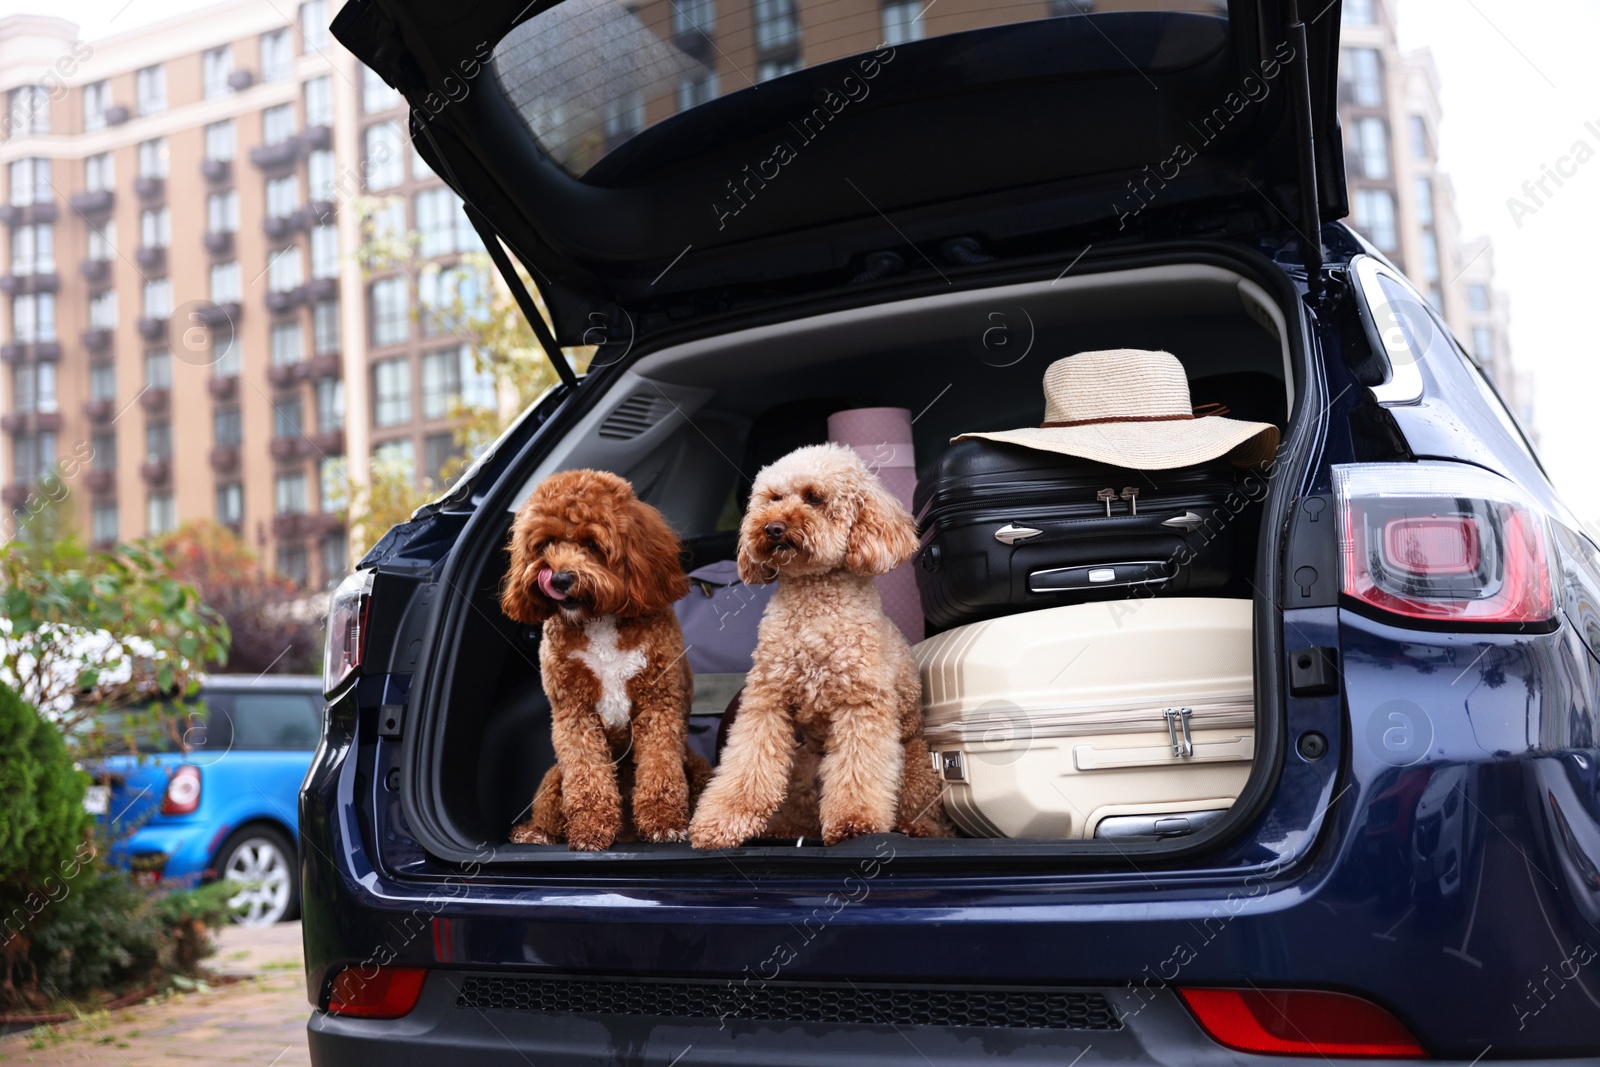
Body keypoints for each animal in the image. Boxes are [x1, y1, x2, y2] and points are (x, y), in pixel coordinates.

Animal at [492, 470, 707, 857]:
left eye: (592, 543)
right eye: (545, 544)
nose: (560, 578)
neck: (599, 619)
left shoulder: (658, 704)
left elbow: (660, 769)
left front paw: (664, 823)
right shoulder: (574, 713)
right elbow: (587, 775)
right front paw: (591, 828)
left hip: (697, 766)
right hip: (553, 778)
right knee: (550, 807)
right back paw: (536, 834)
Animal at [684, 447, 947, 844]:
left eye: (814, 498)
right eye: (774, 498)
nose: (773, 527)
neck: (812, 600)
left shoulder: (861, 703)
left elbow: (858, 770)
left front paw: (854, 822)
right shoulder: (767, 700)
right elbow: (746, 764)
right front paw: (722, 820)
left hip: (915, 759)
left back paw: (916, 827)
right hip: (804, 763)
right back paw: (784, 829)